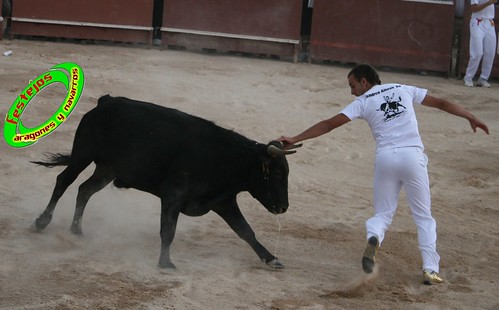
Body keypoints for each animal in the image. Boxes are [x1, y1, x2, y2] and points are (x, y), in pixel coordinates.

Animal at [31, 95, 300, 270]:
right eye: (277, 174)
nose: (283, 207)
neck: (225, 158)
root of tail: (106, 102)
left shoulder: (223, 201)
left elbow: (245, 231)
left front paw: (271, 259)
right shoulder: (174, 195)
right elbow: (168, 230)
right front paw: (165, 262)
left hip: (106, 169)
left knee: (84, 190)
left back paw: (76, 229)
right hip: (83, 154)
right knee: (63, 182)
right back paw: (41, 222)